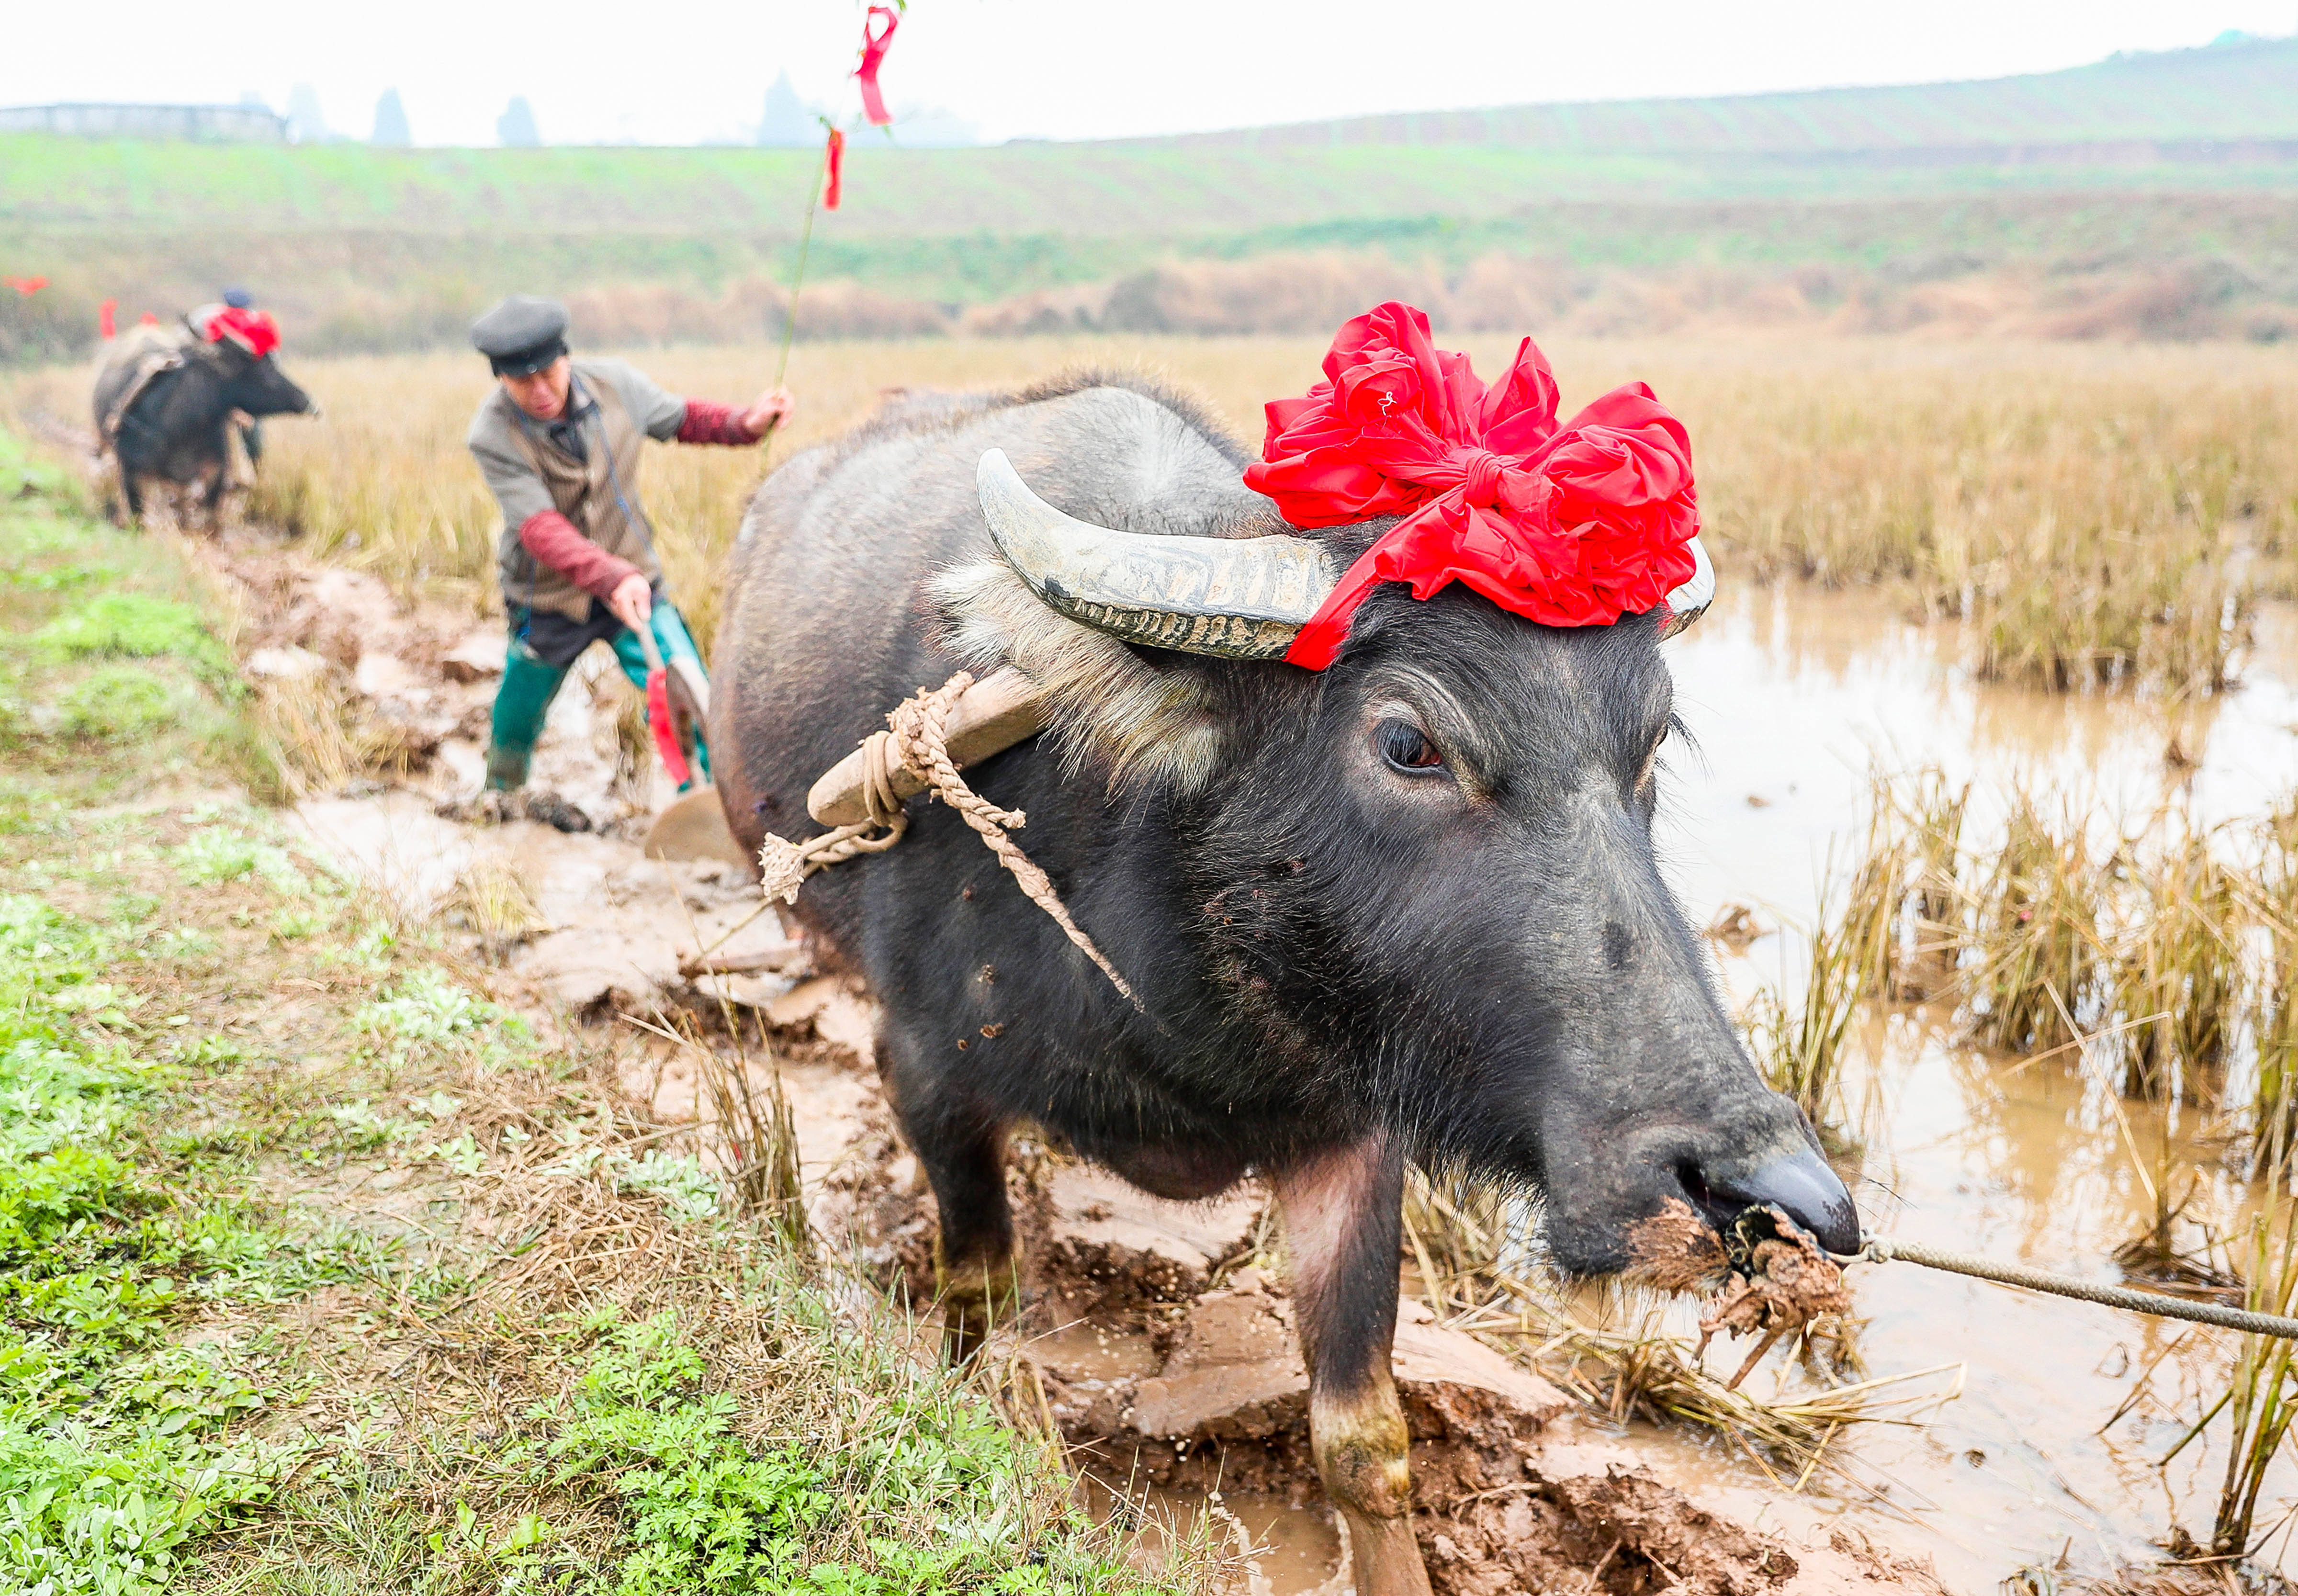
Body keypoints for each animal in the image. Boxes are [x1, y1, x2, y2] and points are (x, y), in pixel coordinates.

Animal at [93, 328, 315, 528]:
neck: (182, 429)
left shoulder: (216, 472)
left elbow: (209, 516)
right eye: (264, 369)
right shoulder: (132, 472)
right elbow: (138, 515)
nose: (308, 402)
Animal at [708, 376, 1857, 1596]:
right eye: (1408, 742)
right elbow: (975, 1303)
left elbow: (1364, 1436)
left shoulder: (1349, 1137)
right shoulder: (927, 1070)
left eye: (1650, 742)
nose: (1769, 1190)